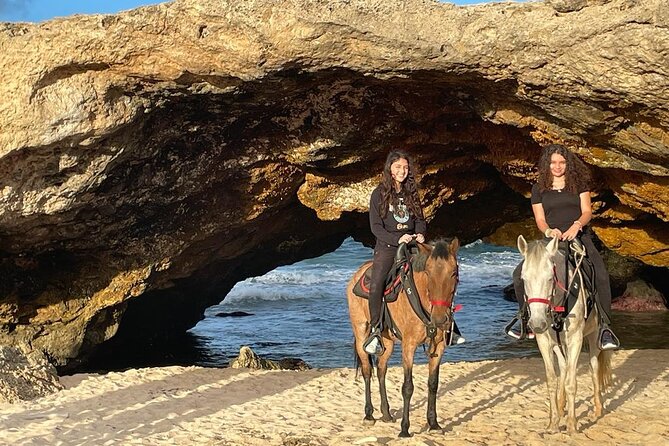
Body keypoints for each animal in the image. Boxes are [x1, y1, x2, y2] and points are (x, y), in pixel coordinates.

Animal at [344, 239, 460, 438]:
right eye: (428, 272)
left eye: (453, 272)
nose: (440, 319)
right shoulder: (409, 346)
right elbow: (408, 387)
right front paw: (405, 429)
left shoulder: (438, 347)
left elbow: (433, 384)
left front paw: (434, 424)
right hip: (360, 332)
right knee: (367, 370)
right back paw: (369, 415)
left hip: (387, 341)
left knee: (381, 370)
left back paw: (386, 413)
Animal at [516, 235, 612, 434]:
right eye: (524, 278)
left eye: (550, 278)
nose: (537, 324)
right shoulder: (544, 341)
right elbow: (552, 380)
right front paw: (553, 423)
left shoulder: (575, 340)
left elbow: (571, 382)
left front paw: (572, 425)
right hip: (559, 344)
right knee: (564, 366)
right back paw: (561, 407)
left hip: (593, 336)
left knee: (593, 367)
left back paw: (597, 409)